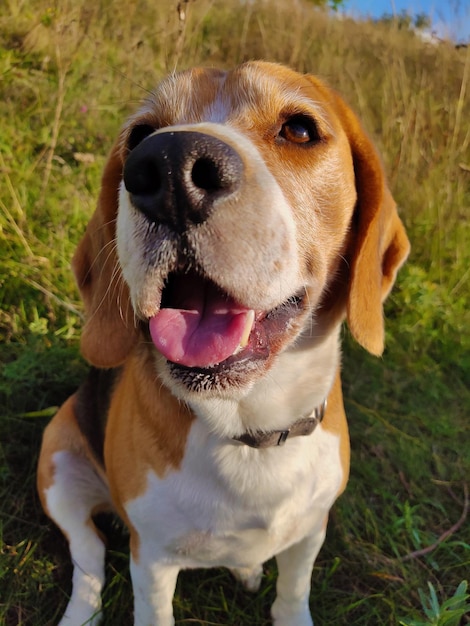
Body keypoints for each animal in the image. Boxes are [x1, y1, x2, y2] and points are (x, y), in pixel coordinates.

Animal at [38, 59, 410, 624]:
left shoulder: (311, 533)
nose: (168, 169)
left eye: (300, 130)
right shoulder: (151, 562)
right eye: (140, 136)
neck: (248, 429)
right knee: (89, 556)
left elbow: (294, 591)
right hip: (57, 465)